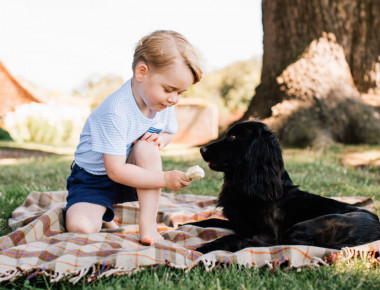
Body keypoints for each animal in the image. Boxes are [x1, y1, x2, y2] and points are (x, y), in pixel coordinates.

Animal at [191, 119, 380, 253]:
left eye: (233, 137)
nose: (202, 149)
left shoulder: (267, 233)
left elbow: (234, 238)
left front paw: (207, 247)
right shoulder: (239, 223)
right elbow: (212, 220)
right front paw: (188, 225)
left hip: (304, 226)